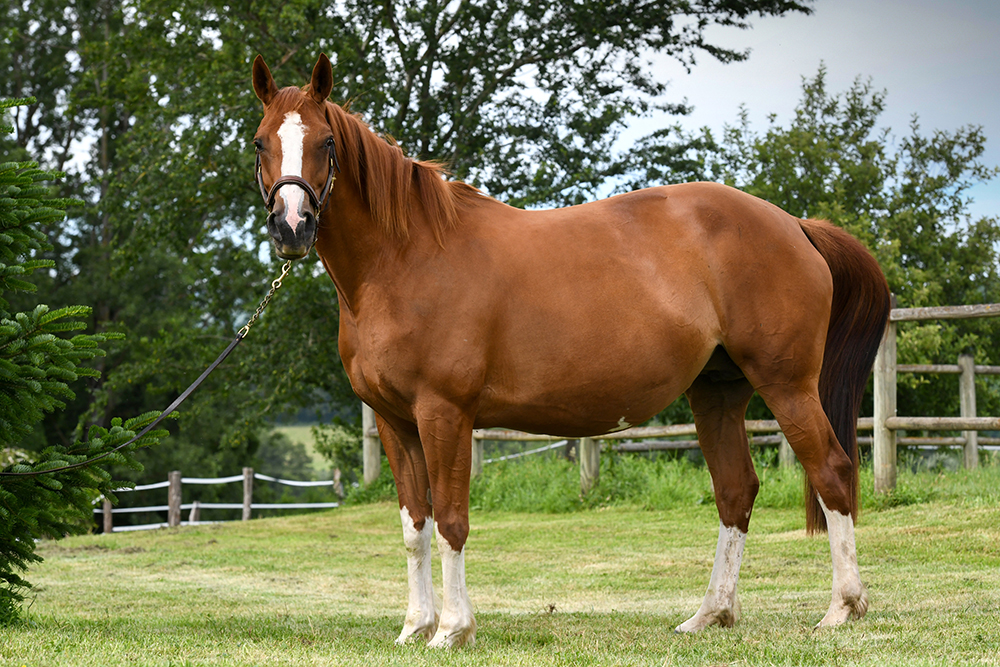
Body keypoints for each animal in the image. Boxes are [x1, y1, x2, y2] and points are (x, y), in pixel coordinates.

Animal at [250, 54, 892, 648]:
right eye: (259, 142)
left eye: (326, 142)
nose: (291, 227)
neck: (405, 259)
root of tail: (795, 224)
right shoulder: (394, 421)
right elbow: (416, 527)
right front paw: (415, 627)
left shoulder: (444, 413)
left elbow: (453, 520)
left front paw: (454, 629)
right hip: (717, 391)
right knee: (736, 491)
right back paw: (711, 614)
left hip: (787, 385)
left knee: (832, 472)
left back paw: (843, 608)